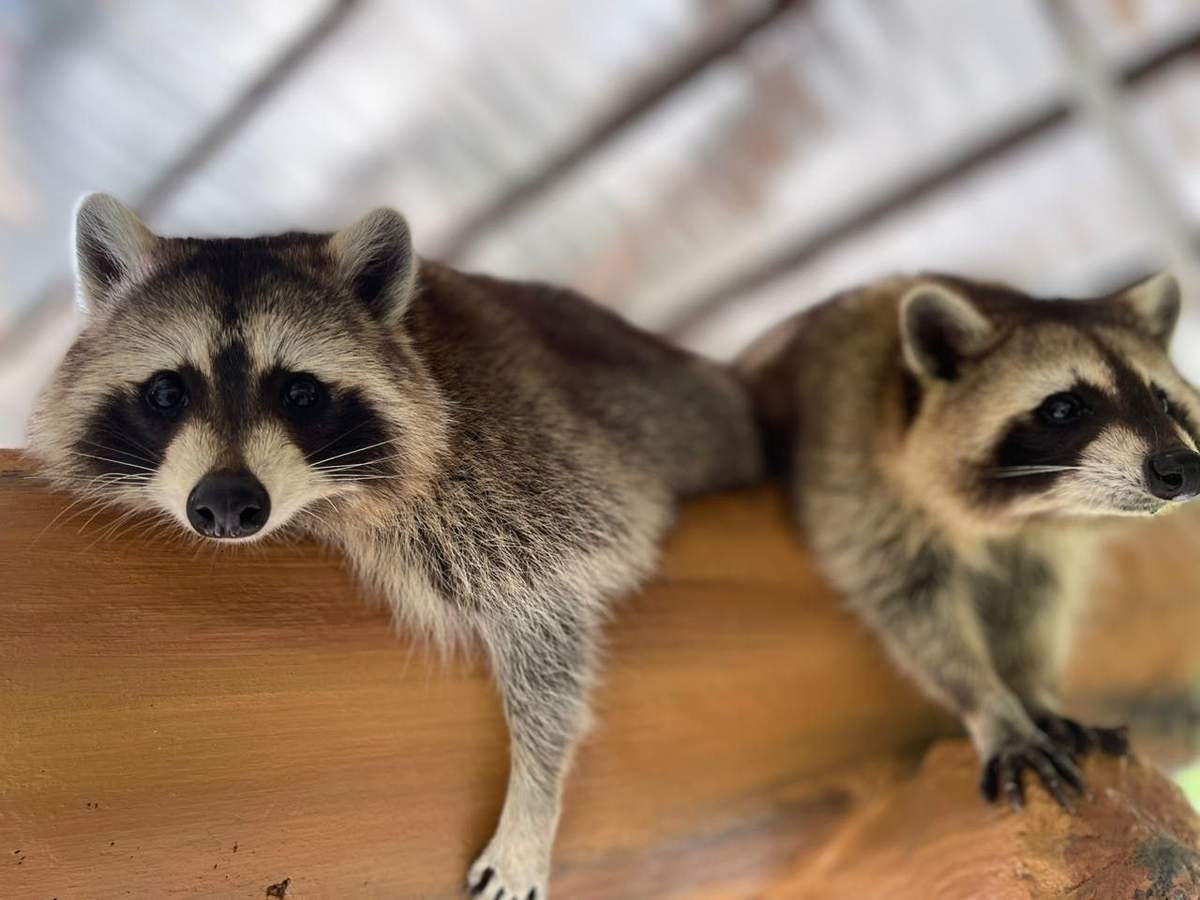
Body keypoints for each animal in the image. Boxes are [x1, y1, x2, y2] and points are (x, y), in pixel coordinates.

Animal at [29, 194, 763, 898]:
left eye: (300, 392)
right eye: (166, 389)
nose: (230, 504)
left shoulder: (519, 476)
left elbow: (549, 622)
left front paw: (534, 800)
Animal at [738, 273, 1200, 809]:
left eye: (1164, 401)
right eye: (1064, 407)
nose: (1183, 468)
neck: (1026, 513)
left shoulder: (1041, 548)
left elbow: (1033, 599)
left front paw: (1030, 690)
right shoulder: (848, 469)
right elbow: (912, 611)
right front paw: (987, 703)